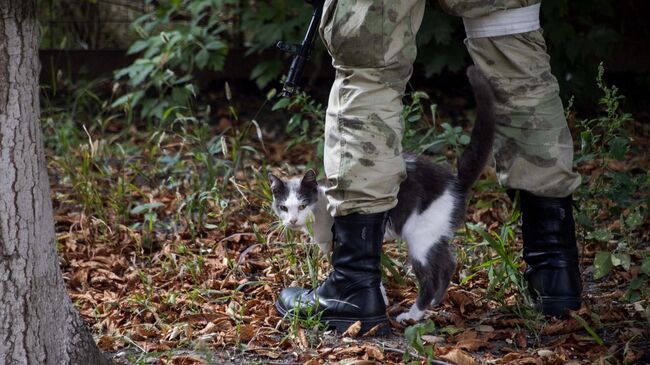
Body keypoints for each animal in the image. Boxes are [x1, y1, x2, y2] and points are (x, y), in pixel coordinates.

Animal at [266, 67, 494, 322]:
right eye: (284, 207)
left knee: (430, 277)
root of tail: (454, 181)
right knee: (449, 264)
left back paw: (413, 314)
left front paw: (375, 302)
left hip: (419, 236)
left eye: (302, 205)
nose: (293, 220)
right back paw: (436, 301)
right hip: (436, 233)